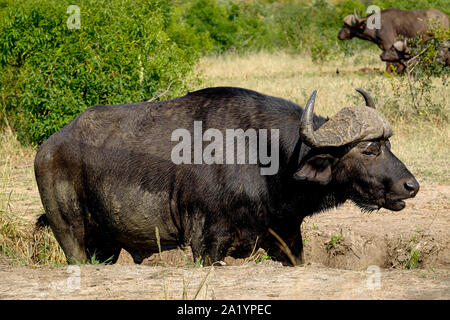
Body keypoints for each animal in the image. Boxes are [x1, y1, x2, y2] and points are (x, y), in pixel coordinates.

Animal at [34, 87, 418, 264]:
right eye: (369, 149)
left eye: (387, 143)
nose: (410, 186)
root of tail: (48, 147)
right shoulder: (206, 243)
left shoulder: (287, 238)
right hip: (70, 235)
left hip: (107, 244)